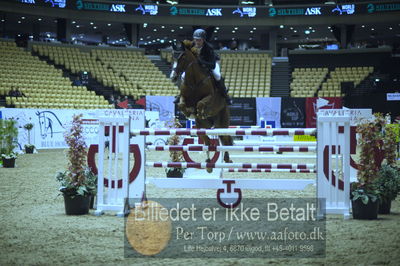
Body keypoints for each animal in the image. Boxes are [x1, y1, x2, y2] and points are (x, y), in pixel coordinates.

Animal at [171, 40, 233, 171]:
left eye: (182, 57)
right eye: (172, 56)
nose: (173, 77)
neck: (194, 80)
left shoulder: (210, 98)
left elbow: (200, 103)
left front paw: (200, 112)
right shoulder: (183, 98)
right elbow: (181, 105)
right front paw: (190, 113)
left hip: (222, 123)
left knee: (224, 138)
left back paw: (227, 158)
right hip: (202, 126)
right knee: (207, 141)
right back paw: (208, 164)